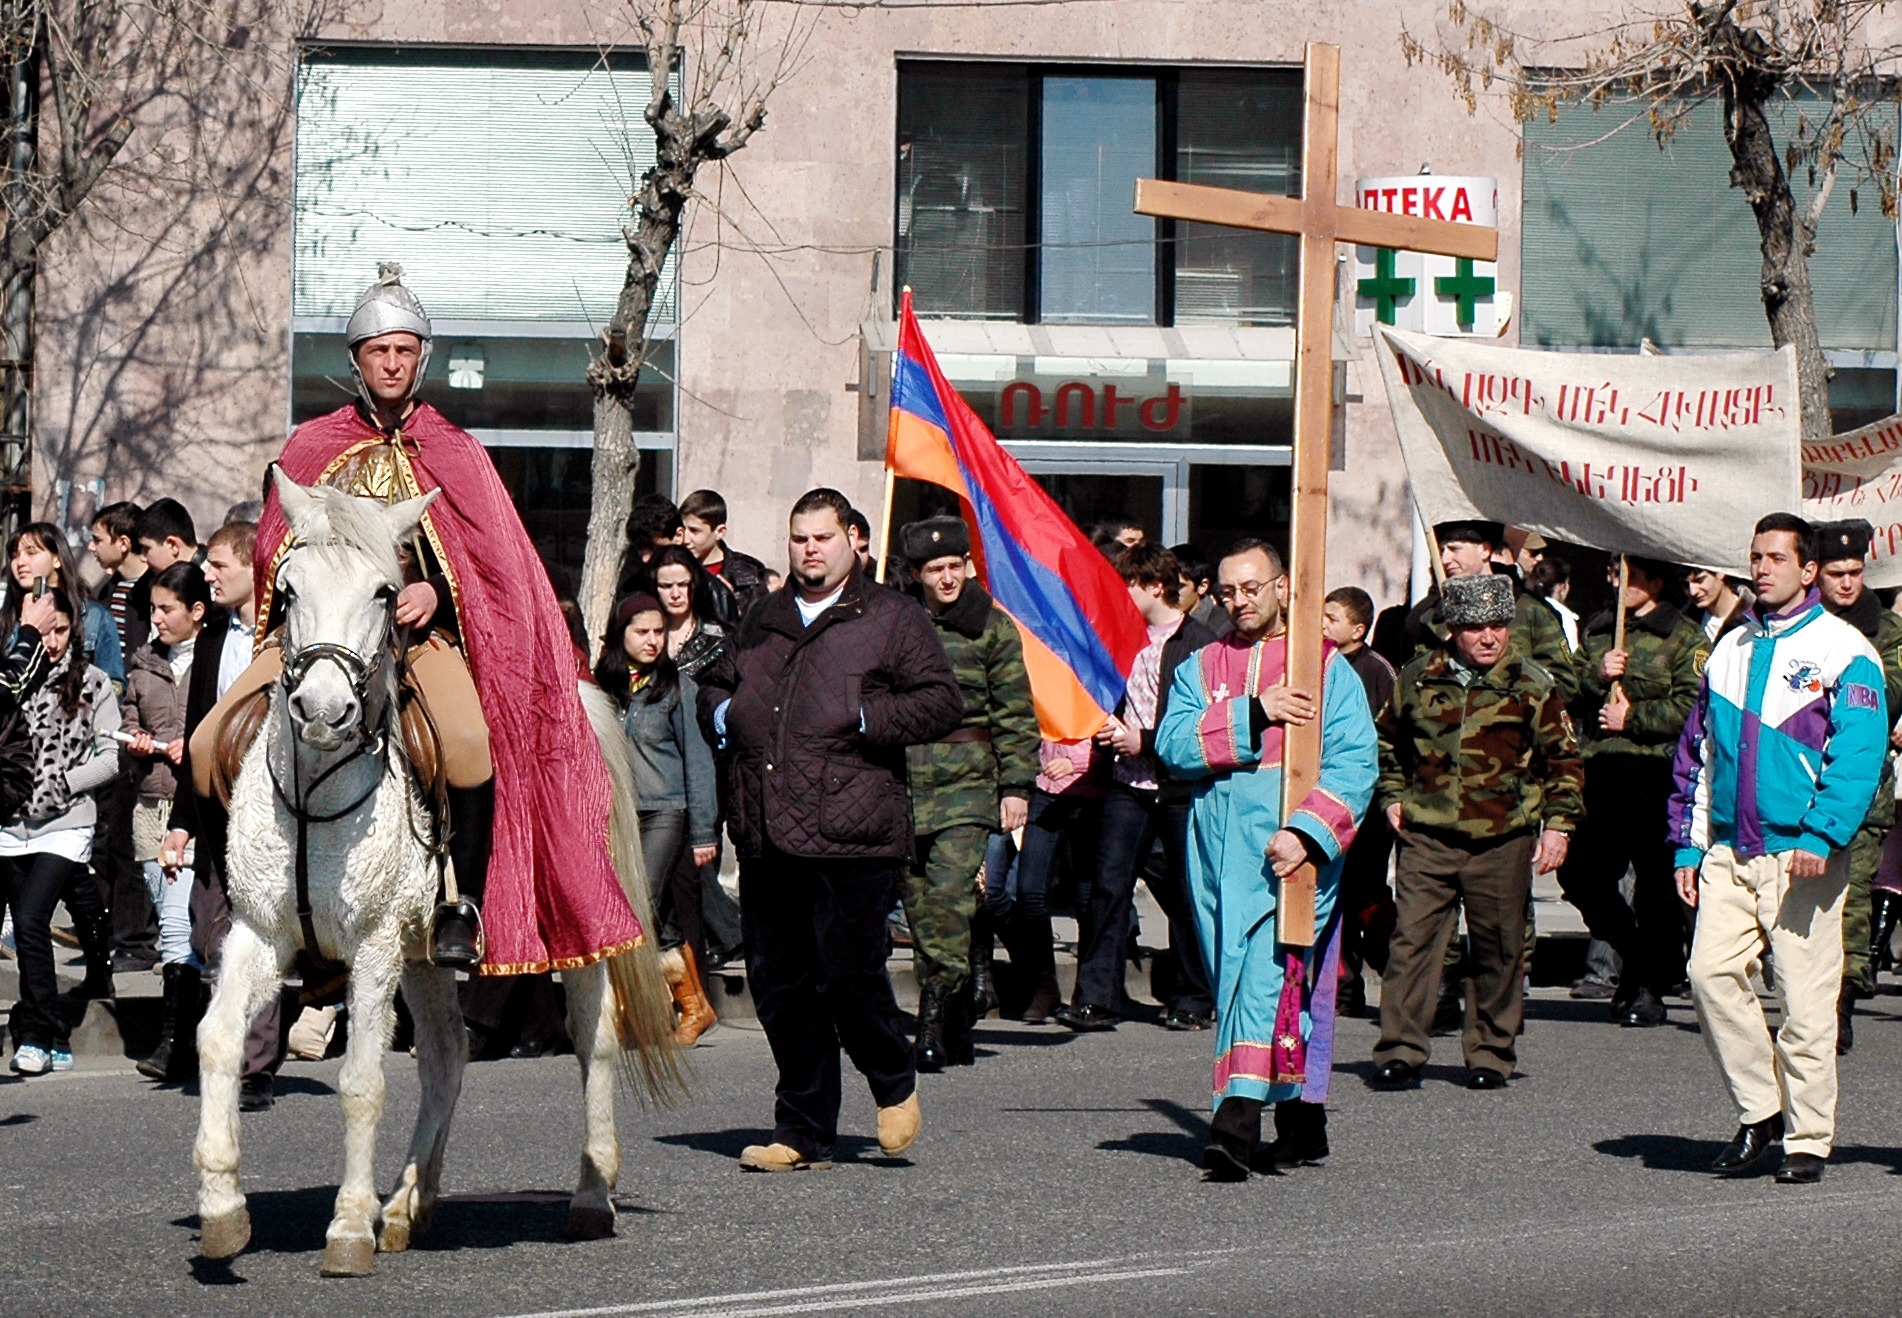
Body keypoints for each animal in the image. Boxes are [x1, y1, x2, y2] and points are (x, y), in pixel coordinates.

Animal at [193, 465, 680, 1278]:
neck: (315, 792)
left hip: (568, 933)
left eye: (385, 592)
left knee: (595, 1037)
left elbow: (361, 1080)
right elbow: (219, 1039)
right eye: (286, 590)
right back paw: (407, 1204)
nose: (322, 711)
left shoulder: (372, 946)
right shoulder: (262, 934)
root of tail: (585, 693)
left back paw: (589, 1196)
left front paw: (347, 1229)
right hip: (423, 956)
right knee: (448, 1054)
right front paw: (223, 1209)